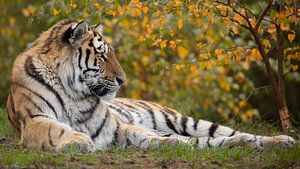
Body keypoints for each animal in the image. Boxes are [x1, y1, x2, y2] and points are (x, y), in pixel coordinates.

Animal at [6, 19, 296, 152]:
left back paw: (282, 140)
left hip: (183, 120)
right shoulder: (35, 119)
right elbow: (57, 129)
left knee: (228, 133)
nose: (123, 80)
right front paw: (79, 139)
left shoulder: (117, 129)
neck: (75, 93)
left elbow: (156, 137)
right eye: (102, 55)